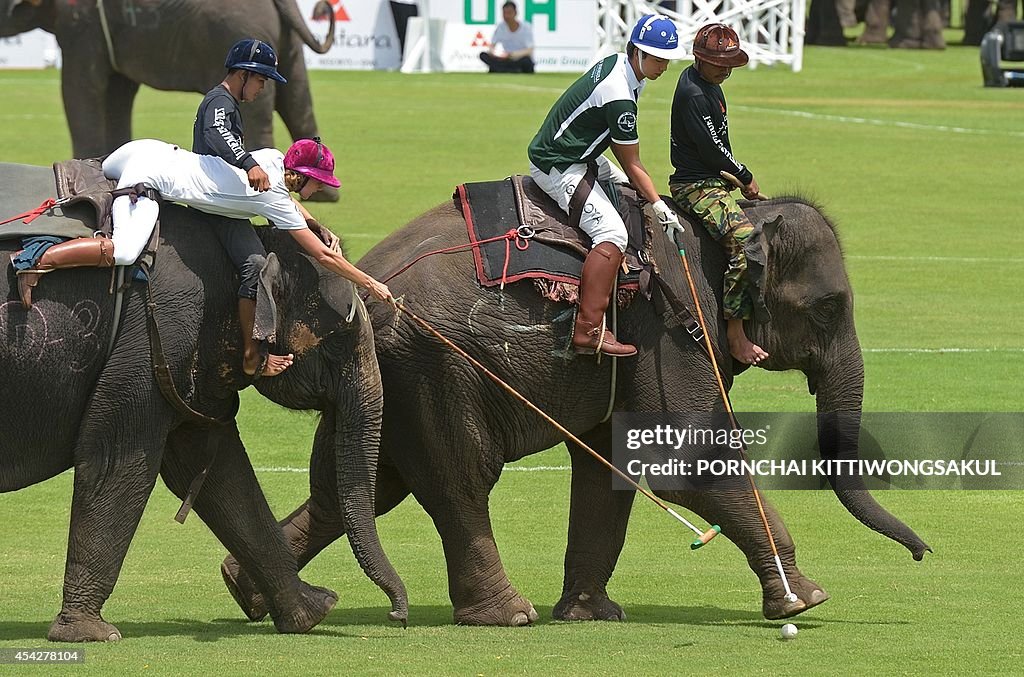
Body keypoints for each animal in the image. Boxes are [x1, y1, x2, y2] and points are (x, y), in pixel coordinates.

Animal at [1, 162, 407, 639]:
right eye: (341, 339)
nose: (397, 617)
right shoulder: (160, 327)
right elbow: (117, 458)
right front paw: (90, 633)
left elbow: (217, 471)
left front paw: (312, 612)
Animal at [4, 0, 339, 197]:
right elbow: (117, 92)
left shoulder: (83, 23)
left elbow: (83, 86)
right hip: (284, 40)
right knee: (298, 98)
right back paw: (322, 194)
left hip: (234, 27)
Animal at [220, 188, 933, 622]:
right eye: (829, 308)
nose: (924, 555)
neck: (727, 222)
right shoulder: (672, 329)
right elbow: (684, 463)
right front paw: (803, 602)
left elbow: (607, 467)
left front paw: (591, 615)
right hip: (432, 370)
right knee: (458, 482)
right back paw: (509, 616)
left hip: (382, 381)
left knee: (358, 486)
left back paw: (249, 592)